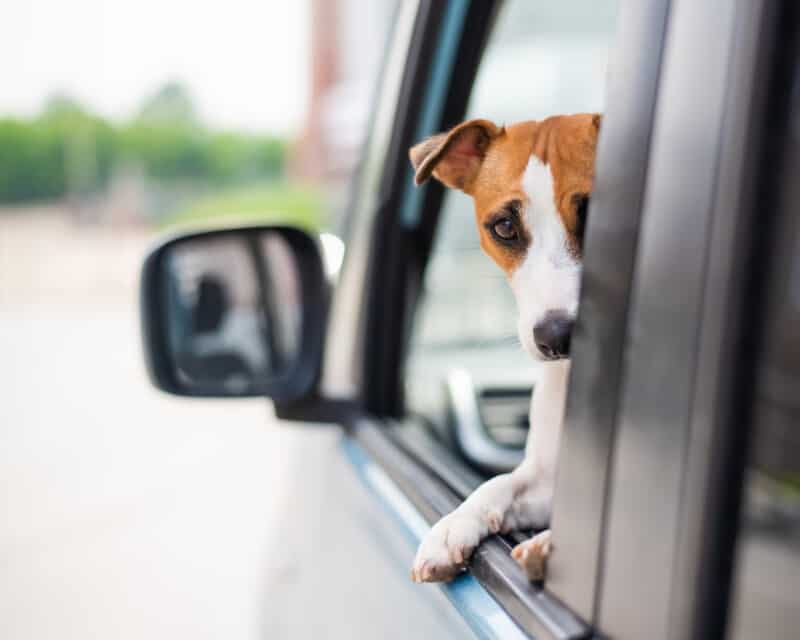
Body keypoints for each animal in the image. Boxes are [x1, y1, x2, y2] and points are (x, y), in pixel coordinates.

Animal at [410, 112, 596, 584]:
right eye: (505, 228)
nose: (556, 337)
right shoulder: (546, 478)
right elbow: (498, 484)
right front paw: (451, 528)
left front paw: (548, 545)